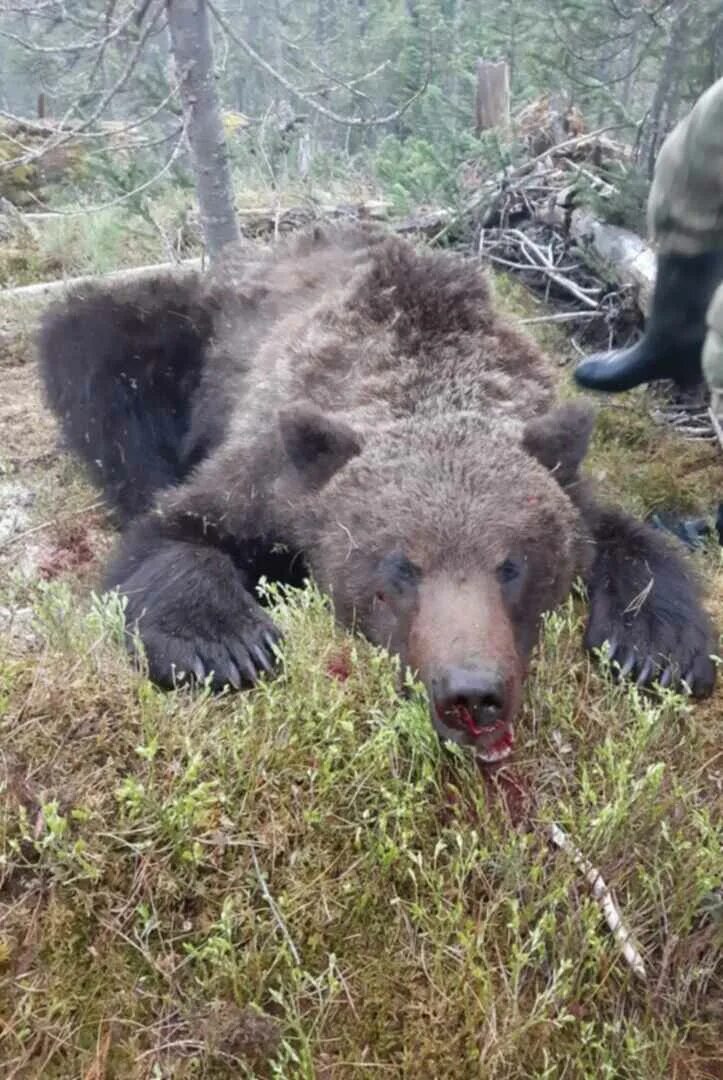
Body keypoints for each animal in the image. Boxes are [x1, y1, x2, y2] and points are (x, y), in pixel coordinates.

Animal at [38, 221, 717, 760]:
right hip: (185, 330)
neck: (428, 373)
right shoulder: (271, 472)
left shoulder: (560, 472)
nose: (472, 692)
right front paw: (226, 643)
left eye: (512, 565)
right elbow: (173, 531)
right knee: (98, 344)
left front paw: (655, 648)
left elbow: (629, 538)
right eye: (401, 566)